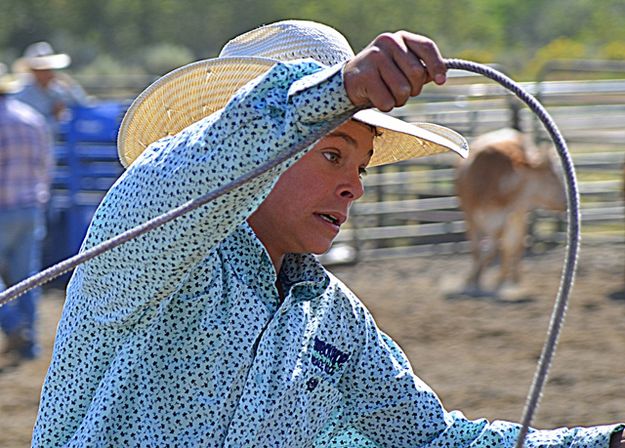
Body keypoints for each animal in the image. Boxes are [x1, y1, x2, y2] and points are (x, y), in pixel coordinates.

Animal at [454, 128, 564, 292]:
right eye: (552, 175)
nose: (566, 201)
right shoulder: (470, 216)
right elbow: (477, 249)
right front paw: (473, 280)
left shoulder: (504, 219)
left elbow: (495, 249)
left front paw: (475, 278)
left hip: (518, 215)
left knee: (514, 246)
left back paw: (511, 279)